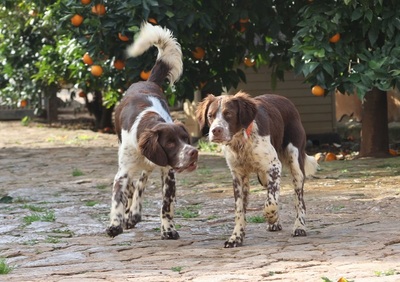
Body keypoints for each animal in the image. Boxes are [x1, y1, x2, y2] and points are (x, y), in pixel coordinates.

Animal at [106, 22, 198, 240]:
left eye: (186, 139)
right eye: (170, 143)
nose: (193, 152)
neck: (150, 122)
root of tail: (148, 81)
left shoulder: (168, 171)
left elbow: (166, 205)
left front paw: (168, 230)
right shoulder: (123, 173)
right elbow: (118, 199)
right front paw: (115, 225)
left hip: (149, 165)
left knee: (141, 183)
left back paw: (134, 214)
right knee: (133, 186)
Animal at [195, 92, 318, 247]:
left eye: (228, 114)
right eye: (210, 115)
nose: (216, 131)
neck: (241, 141)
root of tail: (284, 99)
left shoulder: (274, 166)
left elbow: (270, 203)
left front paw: (271, 217)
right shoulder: (238, 175)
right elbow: (240, 210)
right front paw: (236, 237)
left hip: (295, 163)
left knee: (299, 200)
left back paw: (299, 226)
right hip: (264, 177)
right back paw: (276, 224)